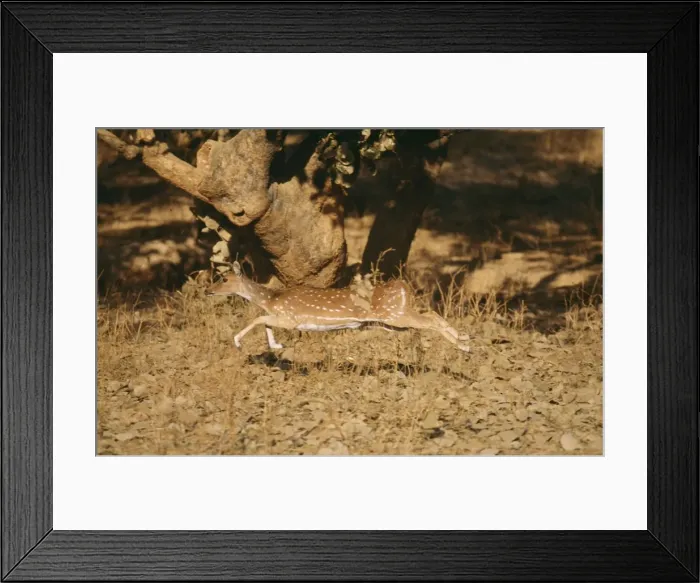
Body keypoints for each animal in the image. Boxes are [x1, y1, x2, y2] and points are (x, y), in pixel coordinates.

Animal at [206, 261, 471, 353]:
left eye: (225, 279)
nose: (208, 290)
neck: (271, 298)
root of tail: (405, 287)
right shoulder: (281, 317)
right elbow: (265, 322)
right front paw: (276, 345)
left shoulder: (291, 318)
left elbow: (259, 319)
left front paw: (237, 342)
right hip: (391, 321)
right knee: (431, 315)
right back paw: (466, 341)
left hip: (395, 314)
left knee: (431, 319)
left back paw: (464, 345)